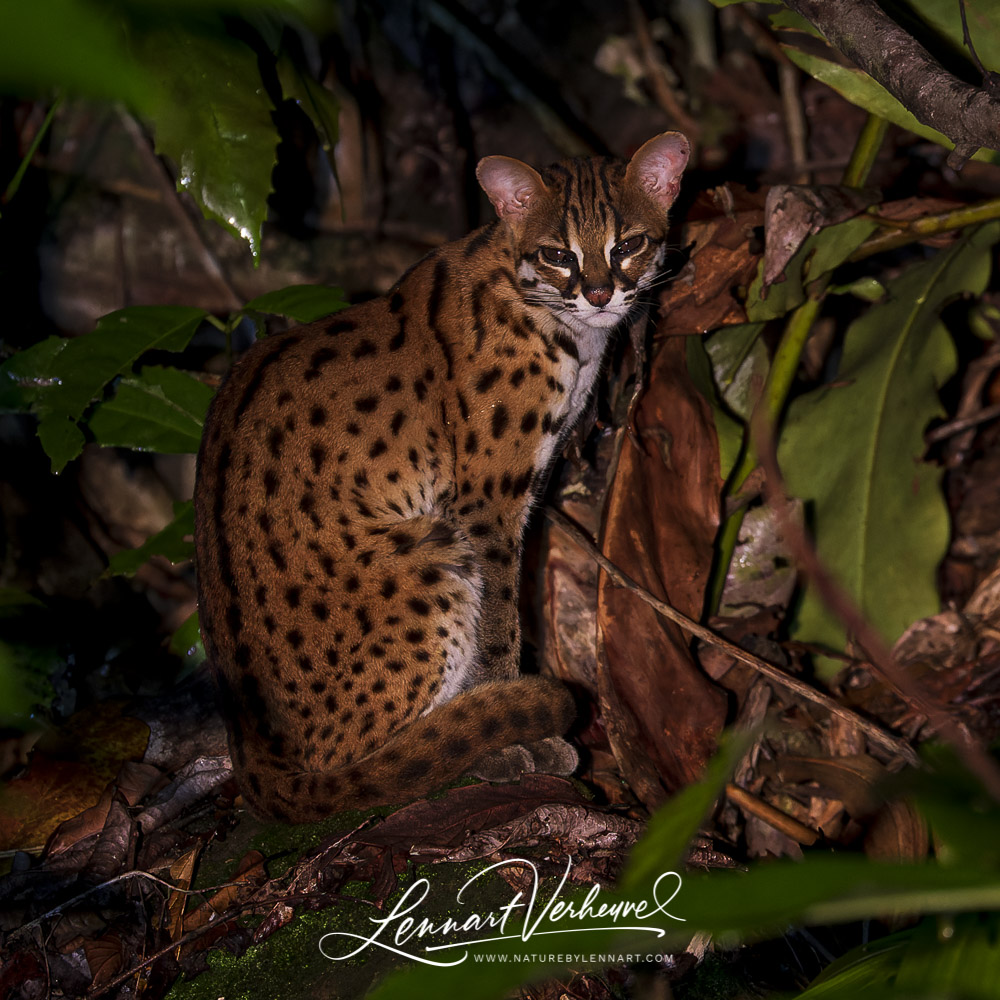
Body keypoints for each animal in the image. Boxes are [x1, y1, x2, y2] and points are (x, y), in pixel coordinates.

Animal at [196, 131, 696, 820]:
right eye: (557, 255)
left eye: (628, 245)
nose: (598, 294)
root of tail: (251, 761)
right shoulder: (486, 502)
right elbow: (500, 628)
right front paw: (508, 735)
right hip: (431, 554)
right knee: (359, 765)